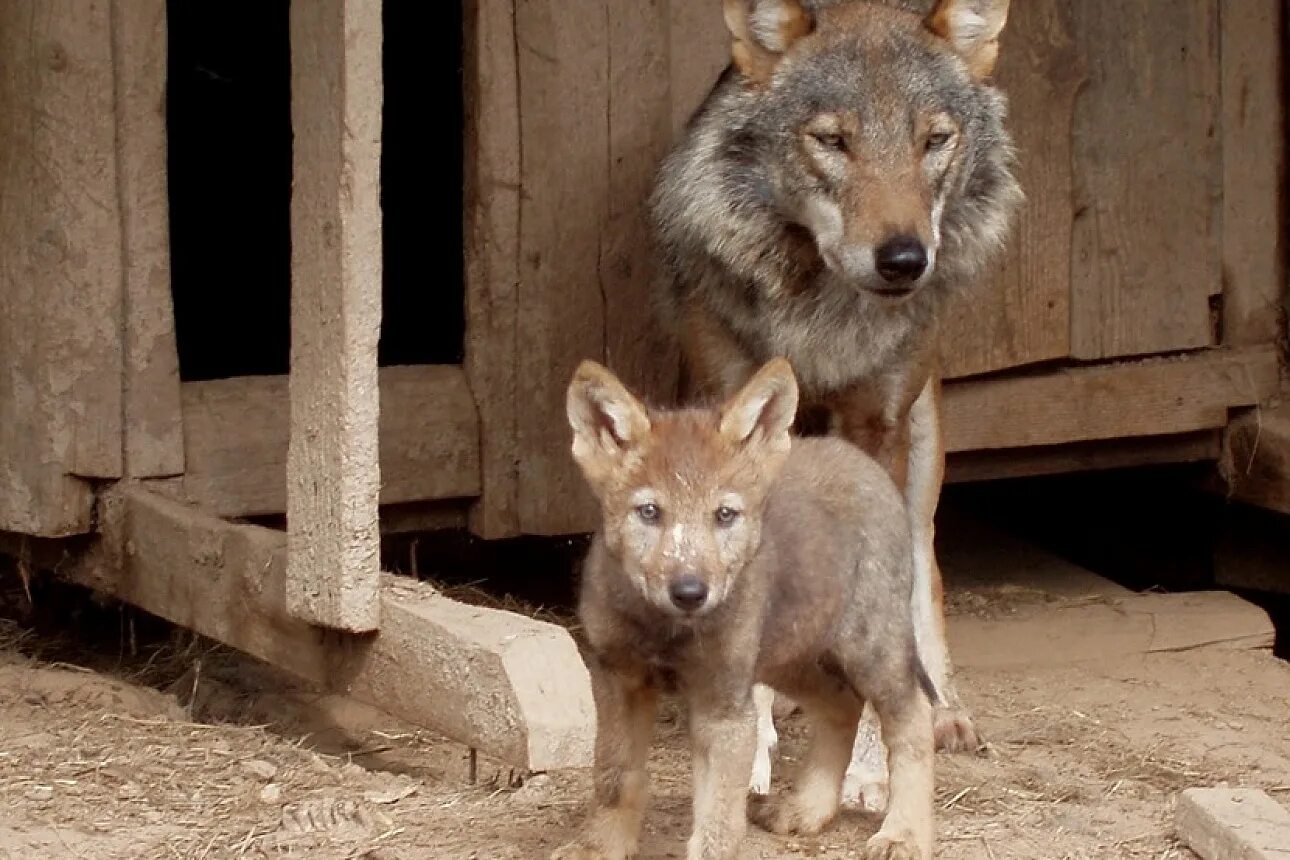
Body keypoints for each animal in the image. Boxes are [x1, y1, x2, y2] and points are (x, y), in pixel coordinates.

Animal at [650, 0, 1021, 809]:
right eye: (833, 141)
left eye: (934, 141)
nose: (905, 259)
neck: (821, 317)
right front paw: (750, 750)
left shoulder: (876, 427)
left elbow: (891, 608)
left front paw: (871, 770)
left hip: (921, 447)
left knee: (924, 576)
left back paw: (944, 713)